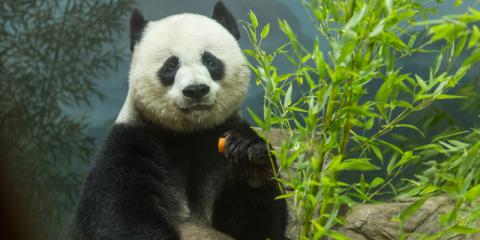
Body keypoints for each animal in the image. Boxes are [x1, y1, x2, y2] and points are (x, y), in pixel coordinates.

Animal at [70, 2, 286, 240]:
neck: (190, 132)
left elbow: (257, 226)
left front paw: (248, 156)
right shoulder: (131, 145)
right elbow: (123, 218)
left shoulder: (219, 138)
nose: (196, 90)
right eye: (171, 66)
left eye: (210, 60)